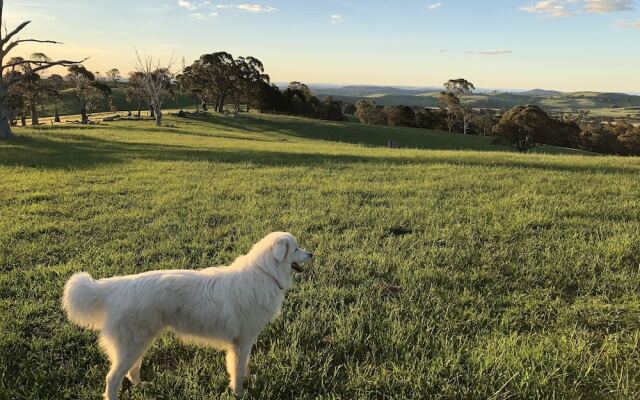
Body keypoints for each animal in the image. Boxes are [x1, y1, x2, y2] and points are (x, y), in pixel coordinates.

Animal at [62, 231, 312, 400]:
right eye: (296, 248)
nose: (312, 253)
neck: (265, 273)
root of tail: (117, 286)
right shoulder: (241, 340)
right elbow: (237, 369)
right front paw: (239, 392)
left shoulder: (244, 341)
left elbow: (244, 365)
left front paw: (248, 380)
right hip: (131, 344)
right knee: (112, 378)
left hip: (138, 343)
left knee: (131, 370)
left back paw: (142, 386)